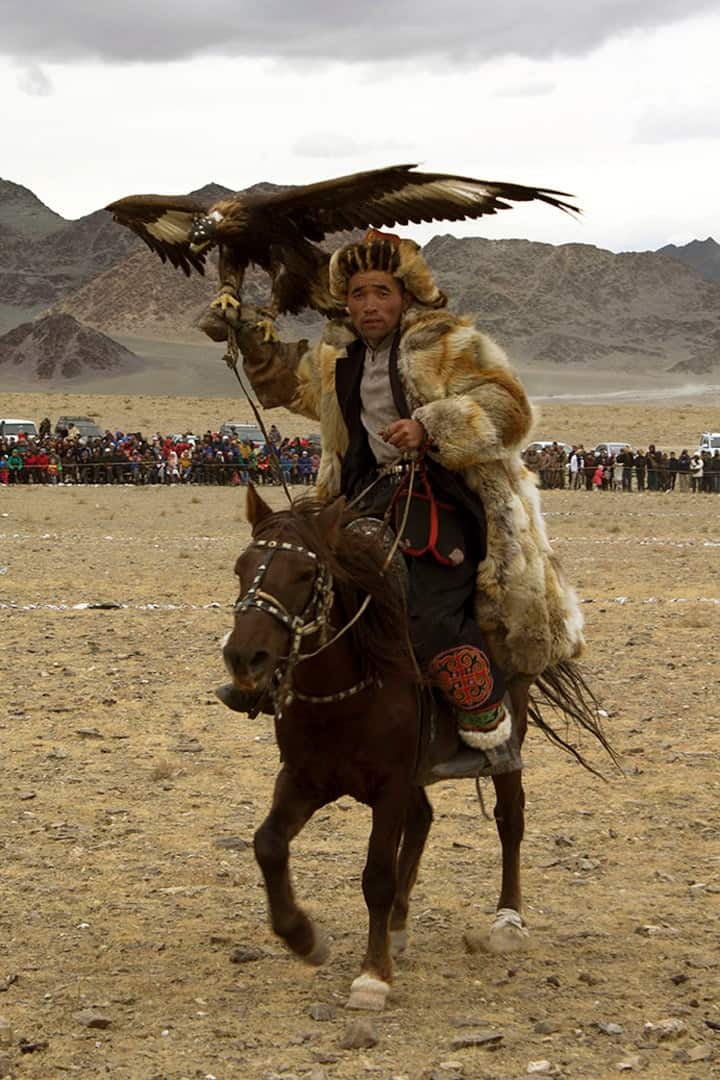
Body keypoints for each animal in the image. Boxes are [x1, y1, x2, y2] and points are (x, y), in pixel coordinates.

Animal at [220, 490, 608, 1010]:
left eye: (304, 574)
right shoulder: (305, 777)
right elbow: (268, 844)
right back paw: (399, 924)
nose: (245, 657)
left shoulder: (389, 786)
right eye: (241, 568)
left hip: (507, 744)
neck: (344, 690)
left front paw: (372, 974)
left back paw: (507, 921)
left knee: (509, 821)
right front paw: (303, 936)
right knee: (423, 818)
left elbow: (376, 876)